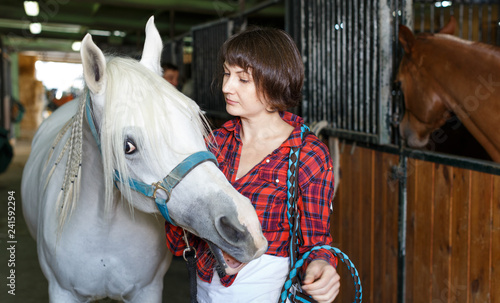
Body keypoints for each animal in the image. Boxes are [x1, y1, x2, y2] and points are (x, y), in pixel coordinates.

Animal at [21, 17, 268, 303]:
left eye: (195, 117)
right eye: (128, 146)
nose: (244, 226)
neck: (105, 229)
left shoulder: (148, 290)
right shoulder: (62, 292)